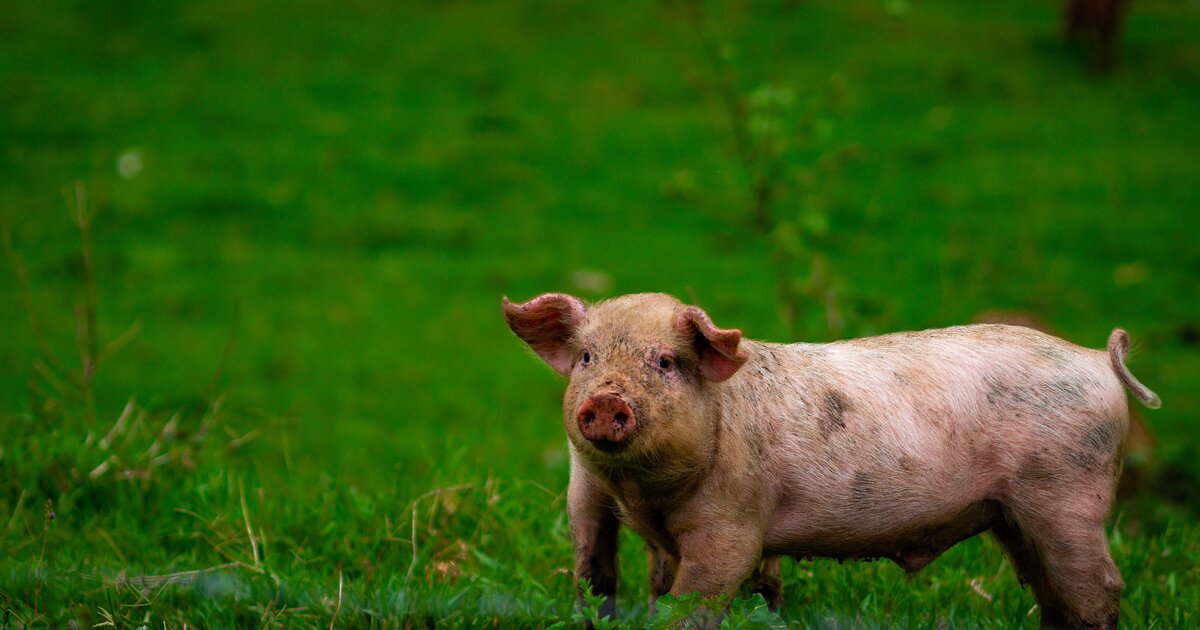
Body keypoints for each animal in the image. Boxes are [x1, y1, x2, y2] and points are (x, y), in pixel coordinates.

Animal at [502, 292, 1161, 629]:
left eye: (665, 362)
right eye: (587, 358)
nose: (605, 401)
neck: (642, 493)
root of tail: (1097, 360)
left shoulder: (731, 523)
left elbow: (696, 597)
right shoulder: (584, 491)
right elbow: (594, 572)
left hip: (1068, 494)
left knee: (1099, 587)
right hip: (1016, 513)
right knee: (1052, 590)